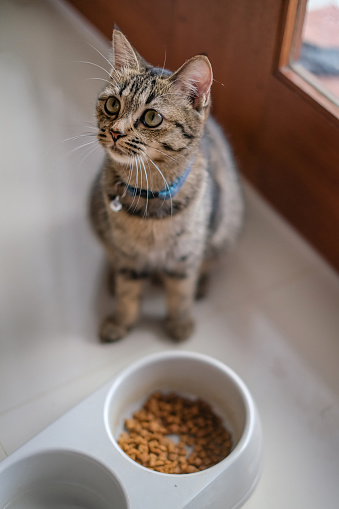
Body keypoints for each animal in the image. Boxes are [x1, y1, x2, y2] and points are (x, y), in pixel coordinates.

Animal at [89, 29, 244, 344]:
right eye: (112, 104)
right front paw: (120, 322)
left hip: (225, 230)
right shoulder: (129, 257)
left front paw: (180, 324)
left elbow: (181, 293)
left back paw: (202, 285)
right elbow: (127, 293)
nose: (115, 131)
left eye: (152, 117)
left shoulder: (185, 256)